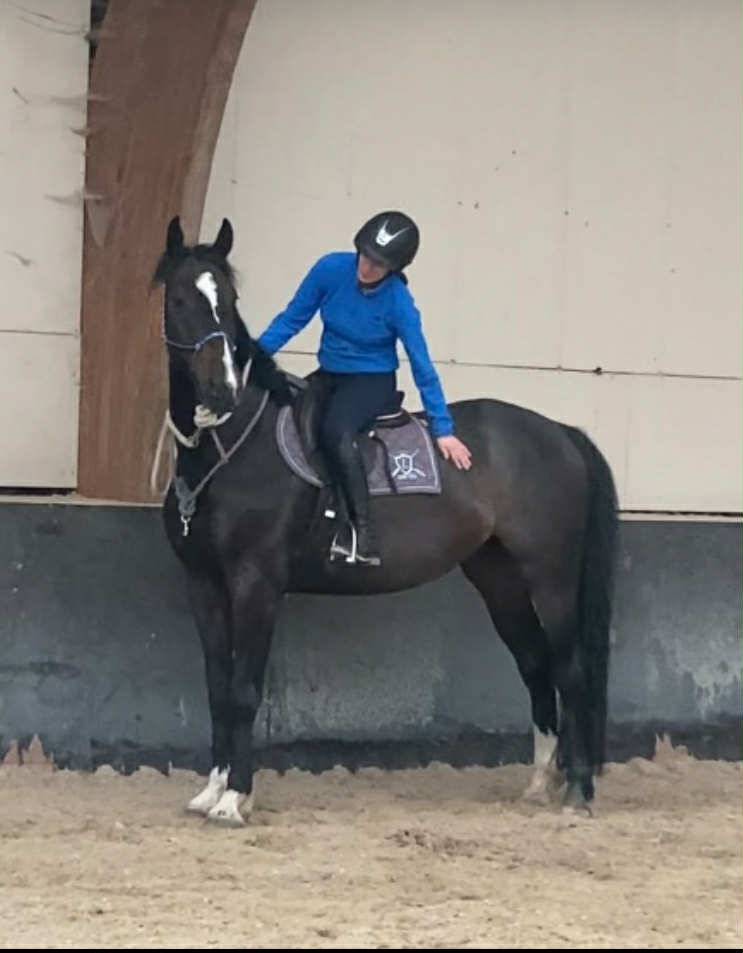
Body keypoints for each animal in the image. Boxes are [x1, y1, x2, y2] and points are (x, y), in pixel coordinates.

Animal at [153, 216, 618, 826]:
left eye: (228, 301)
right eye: (180, 299)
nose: (219, 391)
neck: (232, 446)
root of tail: (560, 432)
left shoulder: (256, 584)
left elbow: (244, 689)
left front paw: (235, 799)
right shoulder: (203, 584)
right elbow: (216, 687)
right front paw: (212, 790)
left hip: (552, 577)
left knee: (571, 670)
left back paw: (579, 791)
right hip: (500, 578)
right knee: (536, 664)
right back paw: (541, 783)